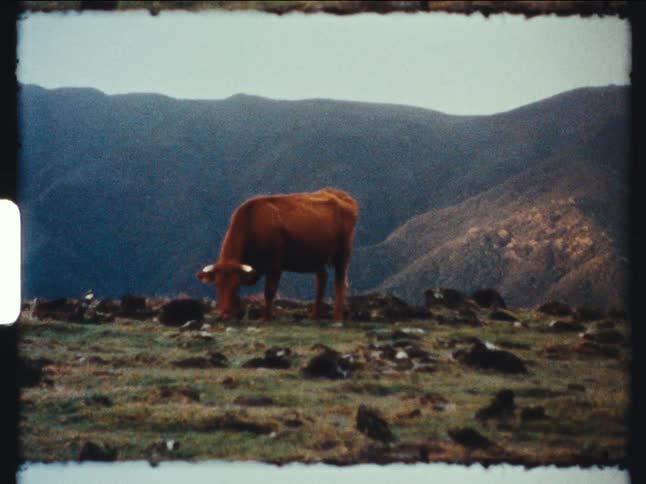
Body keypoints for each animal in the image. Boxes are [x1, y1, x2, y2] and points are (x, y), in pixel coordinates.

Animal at [197, 188, 358, 322]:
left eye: (236, 285)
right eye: (217, 284)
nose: (225, 313)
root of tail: (340, 194)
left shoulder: (275, 266)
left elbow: (269, 292)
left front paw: (266, 318)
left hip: (343, 253)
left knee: (339, 282)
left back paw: (337, 317)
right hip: (317, 256)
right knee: (322, 278)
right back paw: (315, 315)